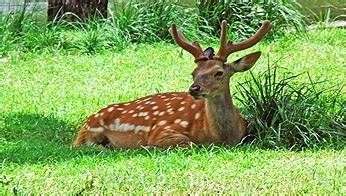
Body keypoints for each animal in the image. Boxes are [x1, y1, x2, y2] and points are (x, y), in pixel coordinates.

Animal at [73, 20, 274, 149]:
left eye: (219, 73)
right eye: (194, 73)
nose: (194, 89)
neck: (221, 136)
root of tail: (86, 122)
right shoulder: (162, 131)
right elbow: (190, 144)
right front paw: (147, 147)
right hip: (90, 134)